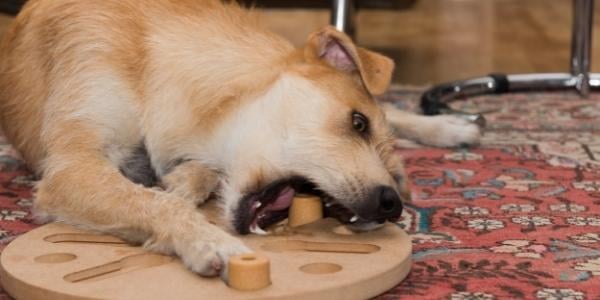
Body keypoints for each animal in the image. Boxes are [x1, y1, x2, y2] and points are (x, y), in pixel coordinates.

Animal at [0, 0, 480, 278]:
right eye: (358, 123)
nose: (391, 204)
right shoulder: (72, 166)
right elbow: (155, 201)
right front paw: (207, 238)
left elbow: (177, 186)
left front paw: (186, 183)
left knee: (395, 107)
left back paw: (450, 126)